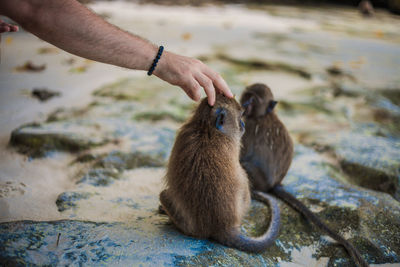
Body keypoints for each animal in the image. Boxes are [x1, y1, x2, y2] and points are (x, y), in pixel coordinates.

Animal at [241, 84, 368, 267]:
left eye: (253, 99)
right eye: (247, 95)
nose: (245, 104)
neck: (265, 114)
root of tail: (274, 184)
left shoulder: (249, 125)